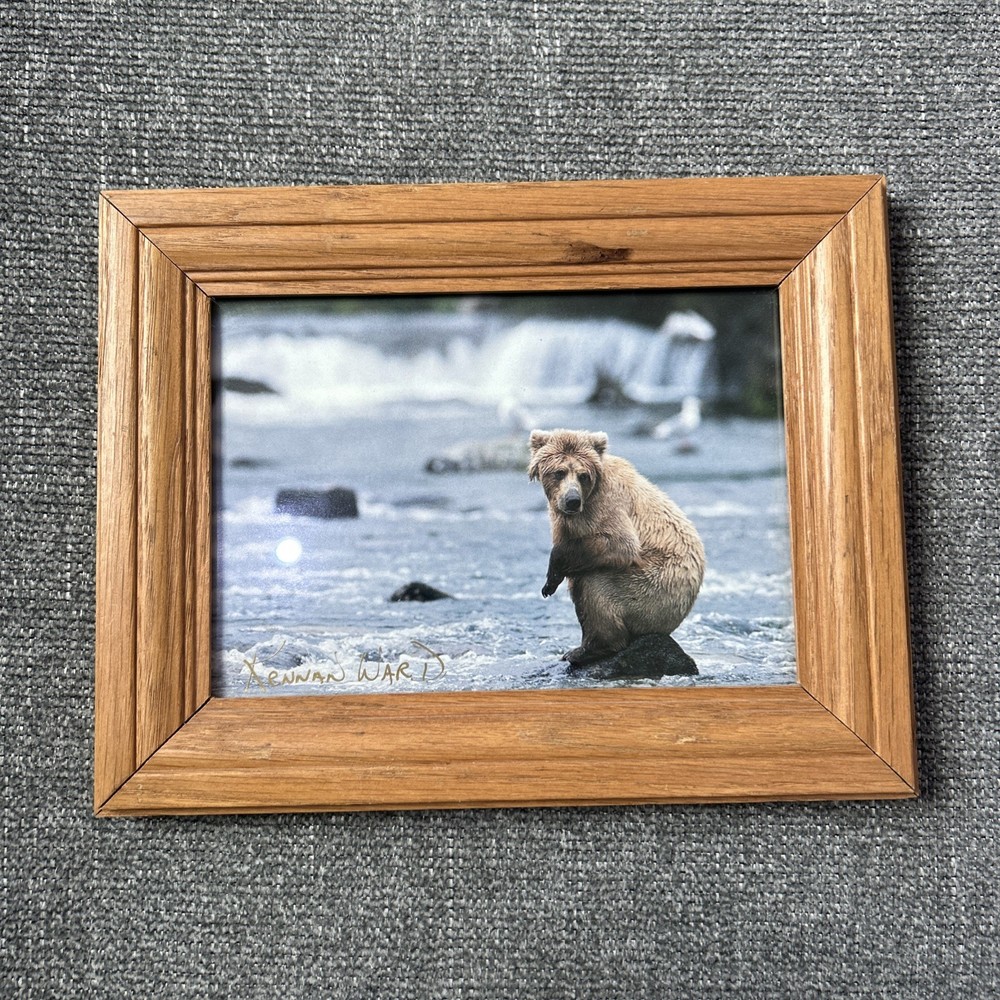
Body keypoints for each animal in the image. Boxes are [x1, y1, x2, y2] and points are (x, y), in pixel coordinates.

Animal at [528, 428, 705, 666]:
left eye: (583, 475)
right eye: (559, 472)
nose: (572, 500)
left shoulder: (606, 504)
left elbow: (621, 544)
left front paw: (553, 570)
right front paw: (551, 581)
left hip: (651, 592)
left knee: (594, 584)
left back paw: (586, 650)